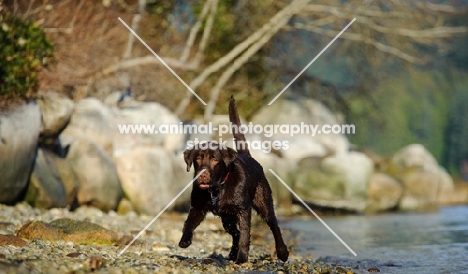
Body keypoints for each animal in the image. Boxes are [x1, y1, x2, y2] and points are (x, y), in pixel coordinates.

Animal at [179, 96, 288, 264]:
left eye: (214, 159)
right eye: (198, 158)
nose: (202, 175)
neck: (217, 189)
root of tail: (248, 156)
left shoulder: (243, 210)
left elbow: (245, 234)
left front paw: (242, 257)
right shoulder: (197, 207)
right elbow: (189, 223)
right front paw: (185, 240)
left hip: (263, 203)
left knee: (273, 226)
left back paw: (282, 252)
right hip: (227, 218)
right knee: (235, 232)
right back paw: (231, 253)